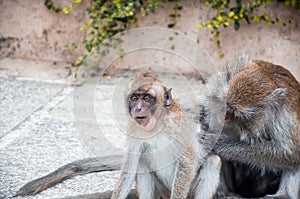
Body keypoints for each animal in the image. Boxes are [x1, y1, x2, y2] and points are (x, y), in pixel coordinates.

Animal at [110, 69, 220, 199]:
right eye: (134, 98)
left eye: (147, 98)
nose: (137, 109)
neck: (157, 124)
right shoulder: (134, 129)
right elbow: (129, 170)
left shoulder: (176, 125)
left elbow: (185, 162)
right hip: (162, 190)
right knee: (141, 164)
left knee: (213, 162)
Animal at [199, 56, 300, 199]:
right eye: (226, 103)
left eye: (235, 112)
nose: (223, 115)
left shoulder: (285, 116)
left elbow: (289, 153)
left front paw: (218, 143)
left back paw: (284, 195)